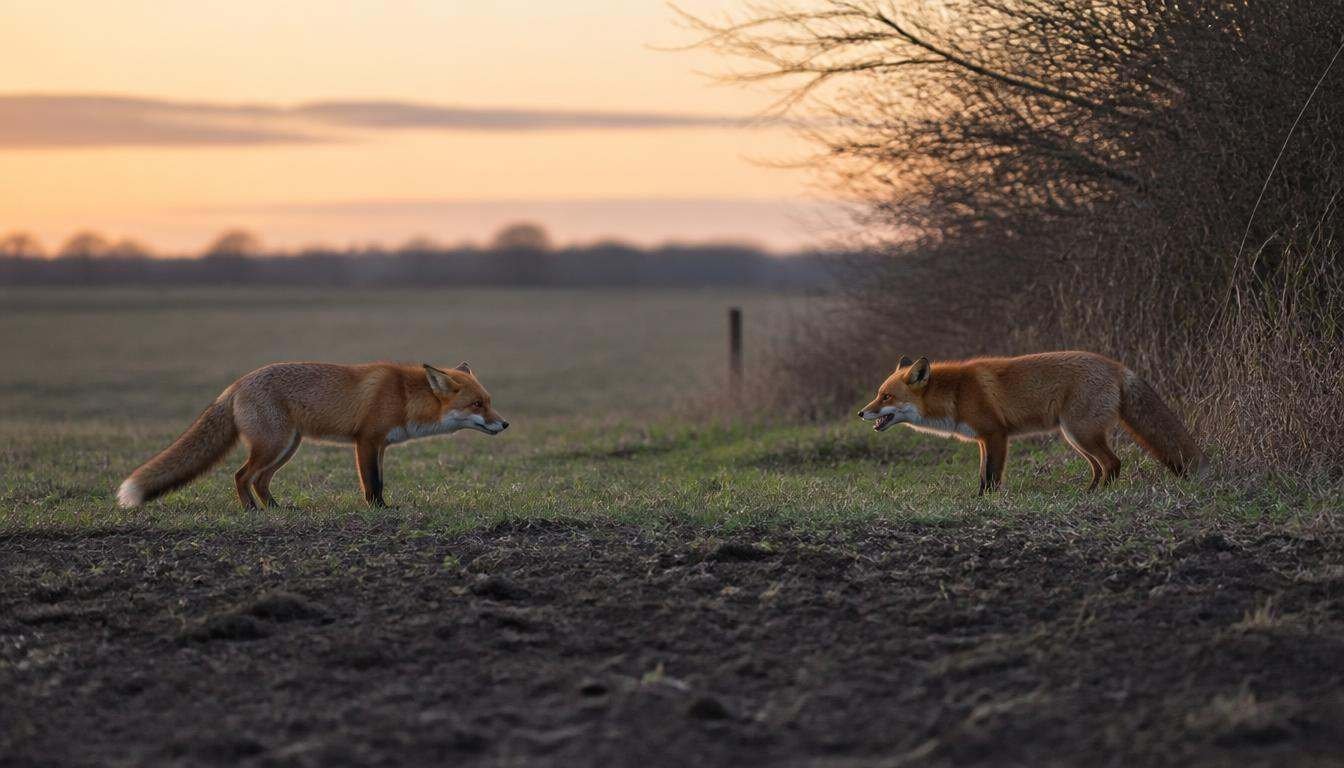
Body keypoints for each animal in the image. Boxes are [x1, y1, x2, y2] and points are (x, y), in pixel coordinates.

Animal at [116, 361, 508, 510]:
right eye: (477, 404)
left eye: (490, 402)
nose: (505, 425)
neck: (403, 395)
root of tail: (236, 384)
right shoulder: (366, 441)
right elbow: (372, 483)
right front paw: (378, 511)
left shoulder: (381, 445)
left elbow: (379, 480)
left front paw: (382, 507)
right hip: (273, 445)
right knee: (241, 475)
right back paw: (251, 512)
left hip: (287, 447)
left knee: (259, 480)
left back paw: (275, 509)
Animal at [857, 351, 1201, 494]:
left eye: (886, 396)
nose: (862, 413)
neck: (956, 393)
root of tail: (1118, 367)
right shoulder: (983, 440)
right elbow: (982, 474)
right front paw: (979, 500)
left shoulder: (996, 435)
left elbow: (991, 477)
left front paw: (987, 502)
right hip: (1076, 436)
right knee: (1100, 466)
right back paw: (1088, 492)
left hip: (1081, 433)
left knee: (1113, 463)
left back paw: (1100, 494)